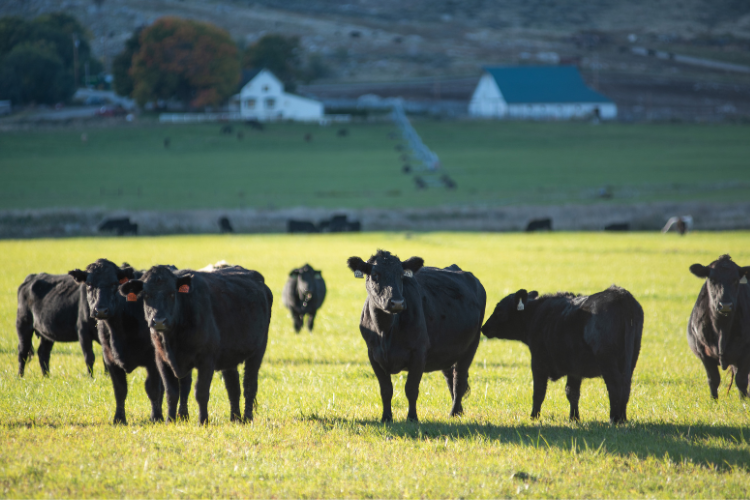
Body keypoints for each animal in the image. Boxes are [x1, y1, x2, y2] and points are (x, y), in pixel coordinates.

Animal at [69, 259, 192, 424]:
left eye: (114, 284)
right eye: (89, 284)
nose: (101, 310)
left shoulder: (152, 360)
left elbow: (152, 388)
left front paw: (156, 417)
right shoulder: (110, 358)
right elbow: (120, 389)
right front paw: (119, 419)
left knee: (184, 383)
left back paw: (182, 415)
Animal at [120, 265, 272, 424]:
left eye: (172, 293)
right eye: (146, 295)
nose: (159, 321)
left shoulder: (206, 359)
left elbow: (201, 392)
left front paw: (203, 421)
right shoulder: (161, 359)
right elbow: (171, 392)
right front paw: (170, 421)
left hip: (258, 351)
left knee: (249, 385)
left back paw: (248, 418)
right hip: (230, 357)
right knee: (233, 386)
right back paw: (235, 418)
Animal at [347, 250, 486, 422]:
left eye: (401, 275)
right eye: (375, 275)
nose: (397, 303)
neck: (386, 331)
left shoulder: (419, 353)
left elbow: (411, 389)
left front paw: (412, 417)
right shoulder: (373, 354)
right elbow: (386, 389)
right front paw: (386, 417)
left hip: (471, 346)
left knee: (459, 380)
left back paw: (453, 413)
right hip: (447, 351)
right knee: (450, 378)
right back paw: (458, 411)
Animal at [481, 285, 643, 424]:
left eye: (499, 311)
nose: (484, 328)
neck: (537, 314)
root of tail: (620, 294)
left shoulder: (538, 361)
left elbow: (539, 391)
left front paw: (533, 417)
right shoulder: (574, 368)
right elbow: (572, 393)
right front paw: (574, 418)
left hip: (607, 360)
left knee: (615, 385)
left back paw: (614, 419)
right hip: (631, 359)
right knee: (626, 386)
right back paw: (622, 418)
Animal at [687, 254, 750, 399]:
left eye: (735, 280)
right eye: (712, 279)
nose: (725, 305)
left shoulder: (746, 352)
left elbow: (741, 380)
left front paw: (744, 401)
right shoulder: (703, 352)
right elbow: (713, 379)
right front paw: (713, 401)